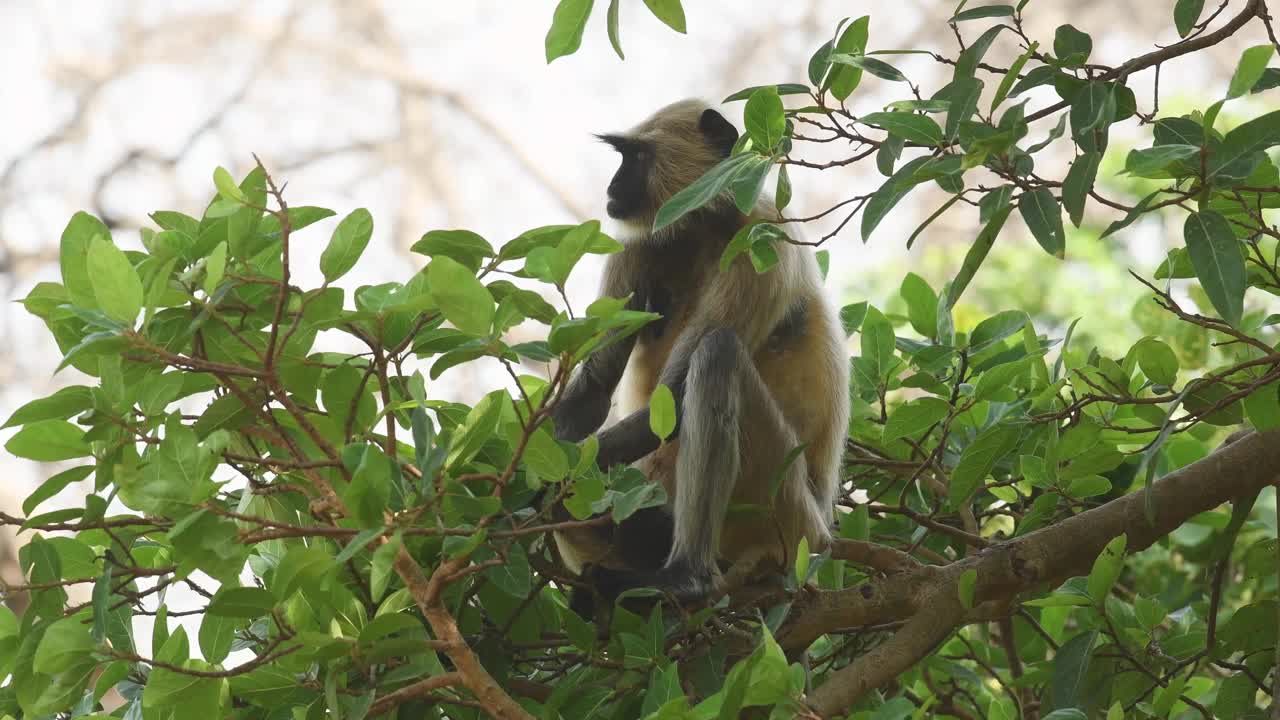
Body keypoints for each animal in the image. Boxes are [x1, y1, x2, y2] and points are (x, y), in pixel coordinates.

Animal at [547, 98, 849, 607]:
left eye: (635, 158)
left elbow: (671, 399)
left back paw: (687, 579)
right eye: (621, 157)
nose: (612, 187)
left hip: (787, 515)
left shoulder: (760, 240)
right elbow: (594, 390)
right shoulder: (639, 243)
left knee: (717, 354)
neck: (707, 224)